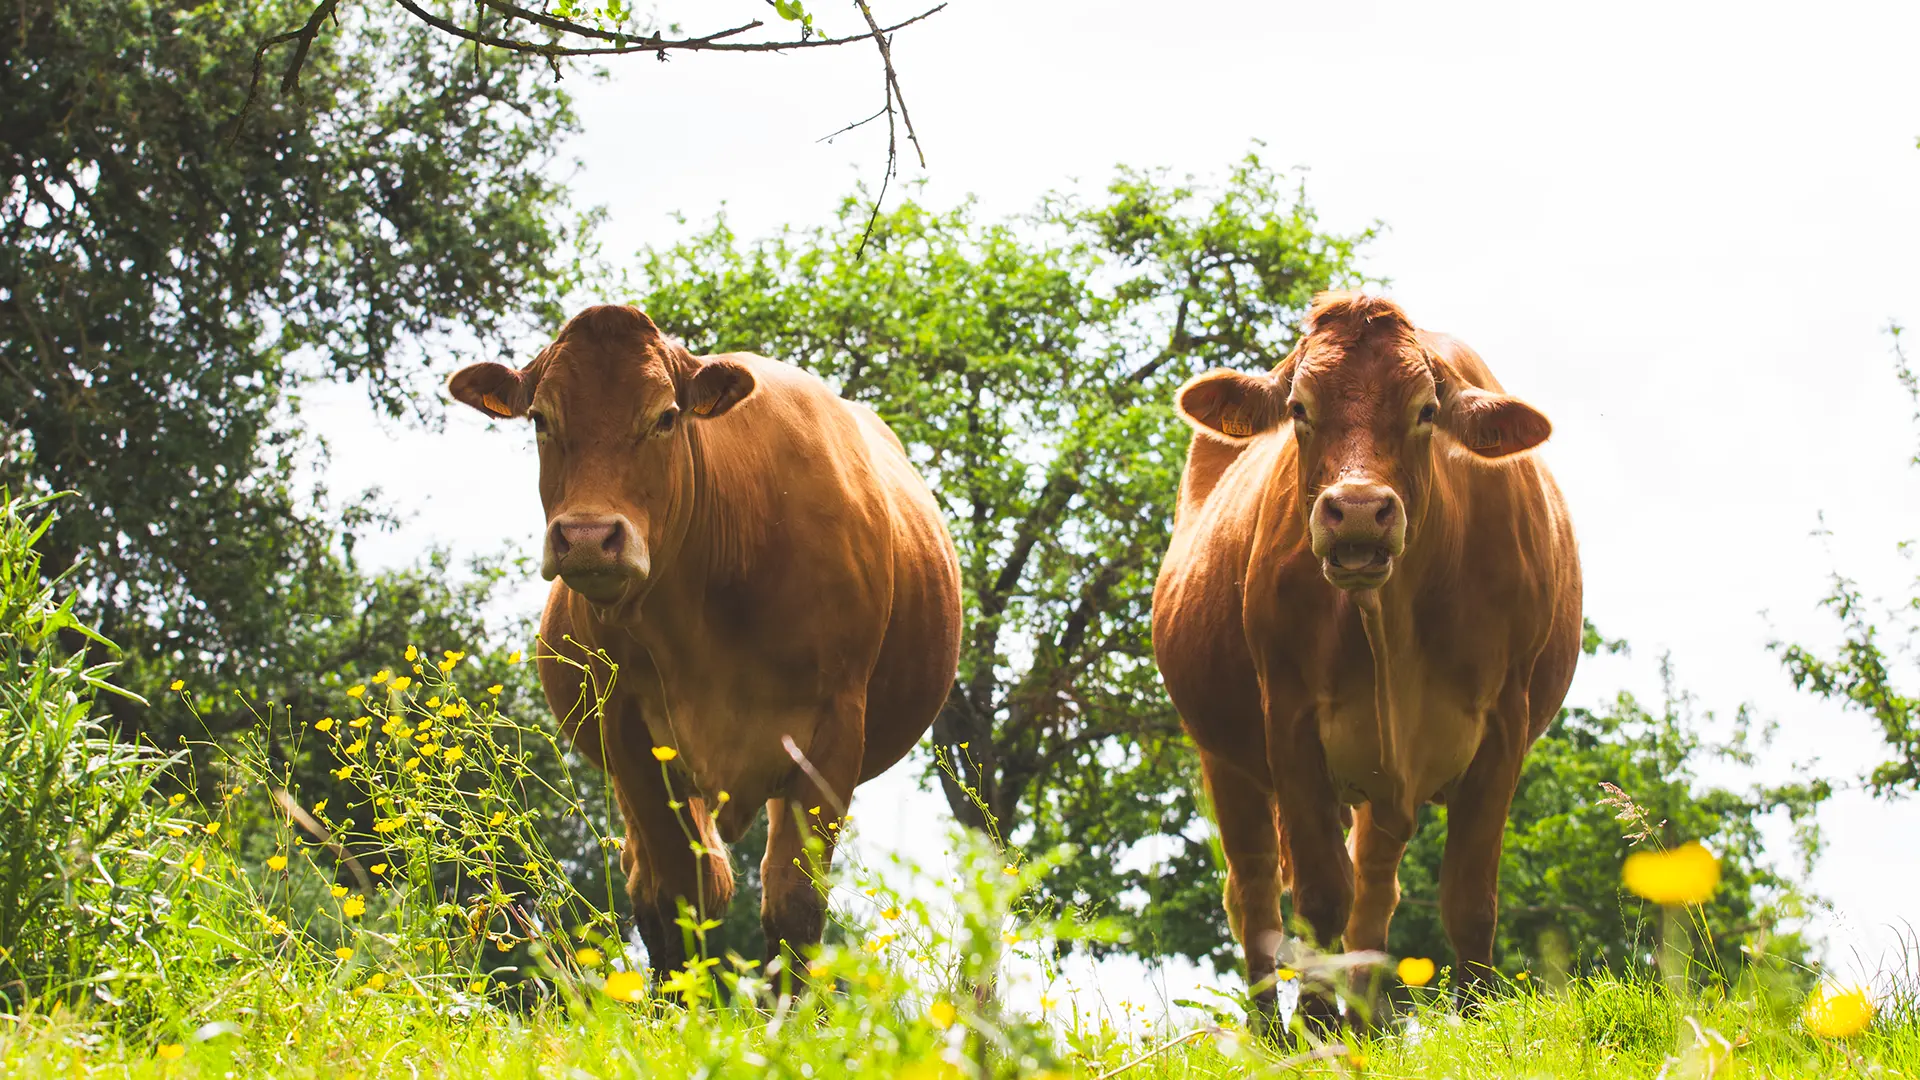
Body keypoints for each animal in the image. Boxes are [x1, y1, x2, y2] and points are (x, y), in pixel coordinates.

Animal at [447, 304, 962, 983]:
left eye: (665, 416)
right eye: (540, 418)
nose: (587, 537)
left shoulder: (835, 729)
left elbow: (795, 904)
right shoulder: (629, 731)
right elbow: (683, 893)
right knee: (653, 882)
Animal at [1151, 292, 1581, 1035]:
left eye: (1426, 410)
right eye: (1299, 408)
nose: (1356, 511)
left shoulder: (1505, 726)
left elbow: (1468, 897)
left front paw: (1476, 1020)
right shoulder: (1288, 722)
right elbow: (1321, 893)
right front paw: (1316, 1025)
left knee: (1375, 890)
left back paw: (1365, 1026)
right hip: (1223, 755)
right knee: (1254, 891)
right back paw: (1270, 1032)